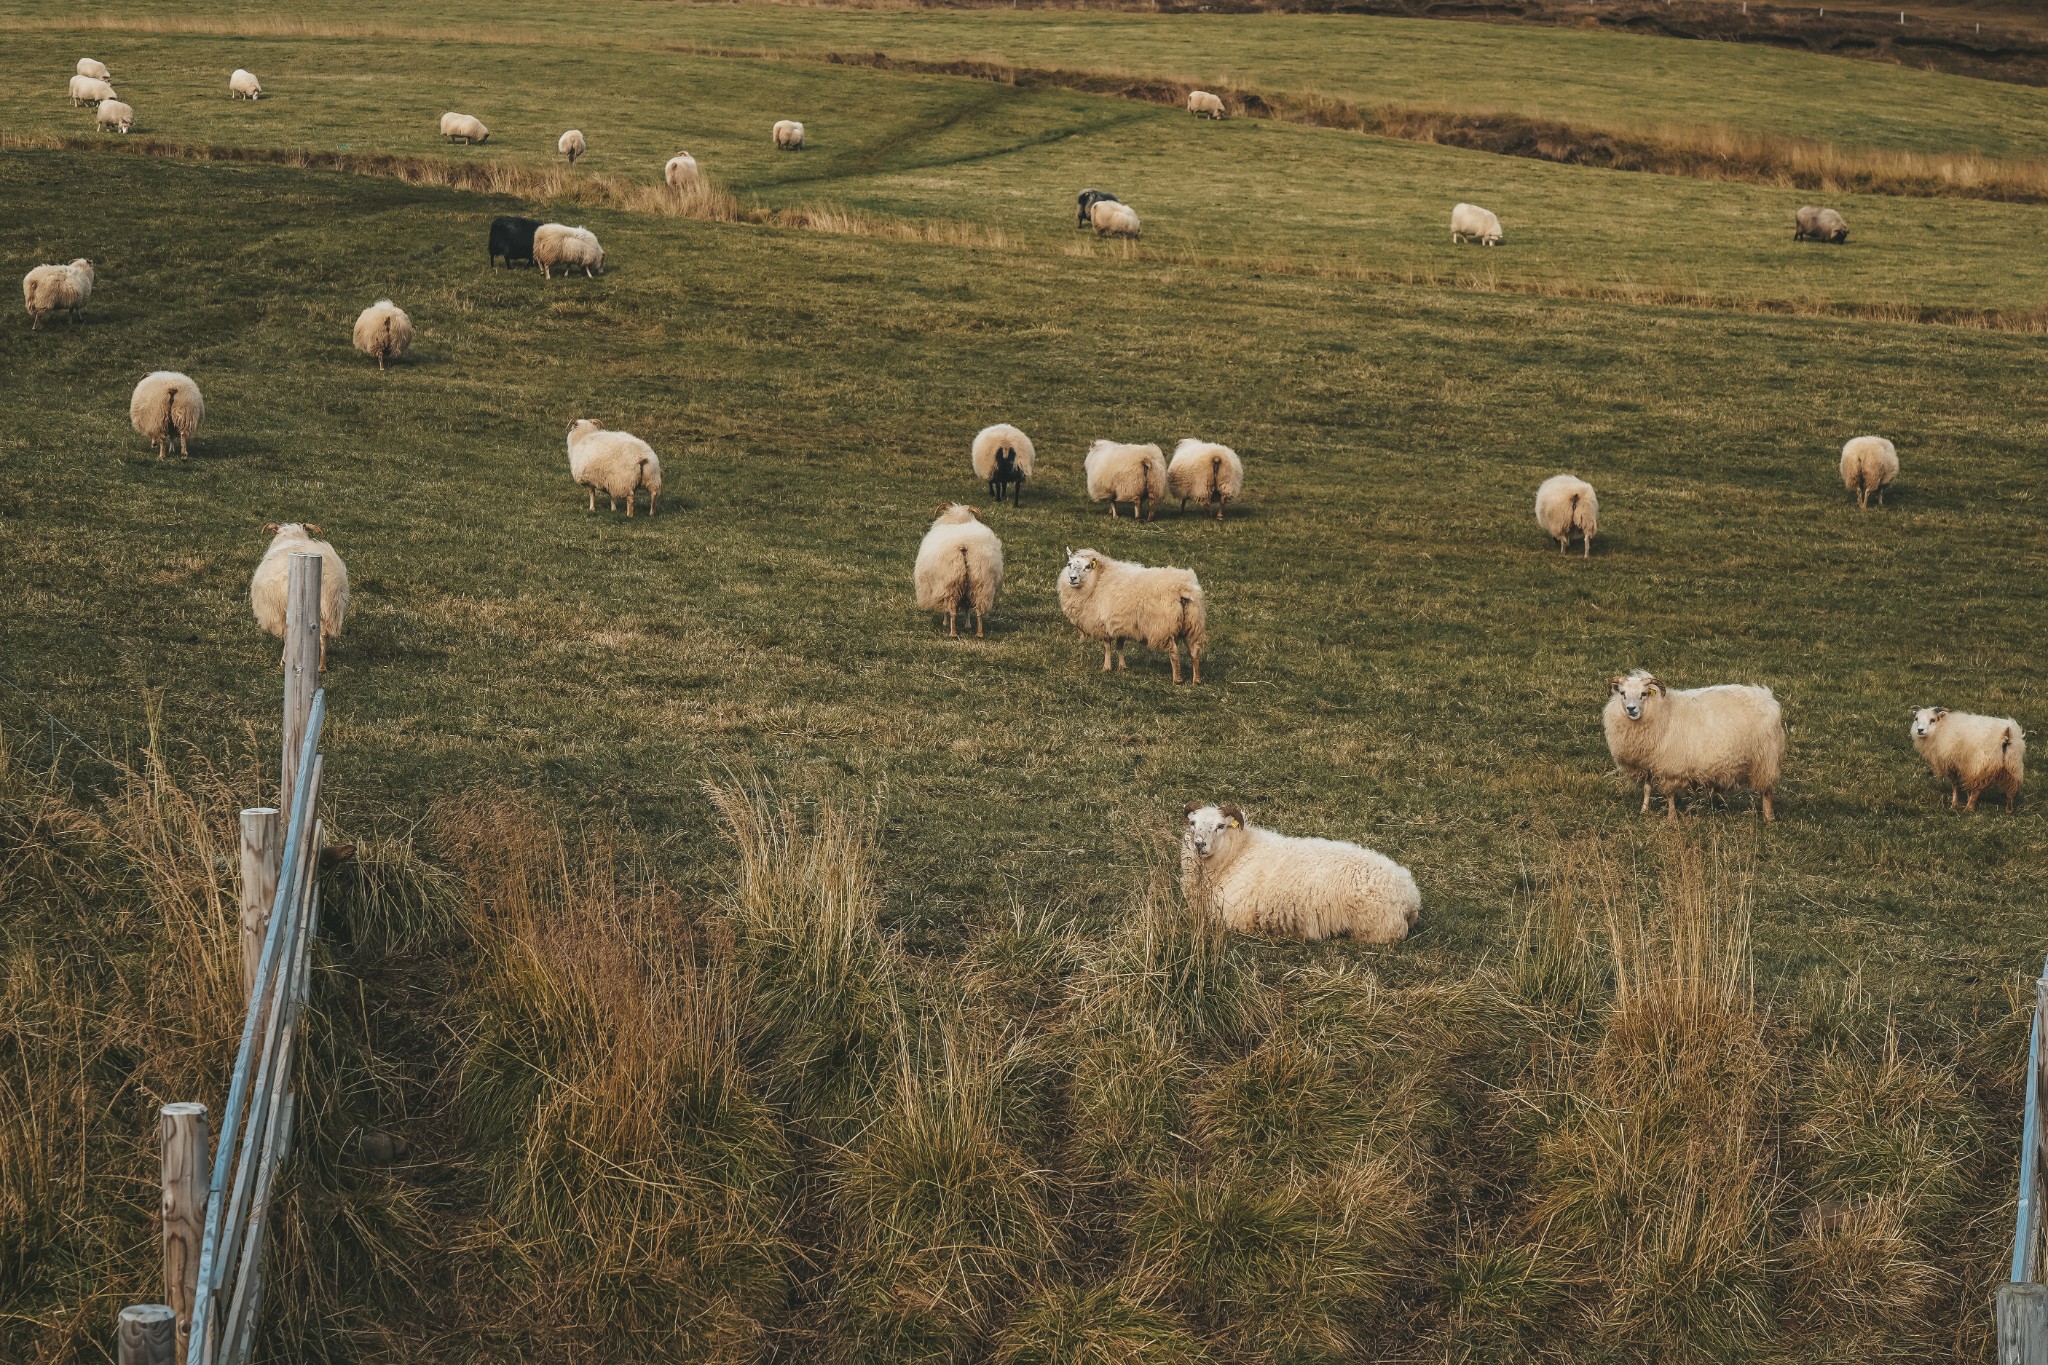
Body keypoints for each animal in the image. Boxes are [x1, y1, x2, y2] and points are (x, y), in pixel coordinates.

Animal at [251, 519, 352, 671]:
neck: (292, 536)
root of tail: (329, 576)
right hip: (326, 611)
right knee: (323, 634)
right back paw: (321, 666)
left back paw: (287, 660)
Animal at [917, 505, 1003, 638]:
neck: (958, 520)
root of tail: (964, 545)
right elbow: (967, 607)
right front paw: (968, 626)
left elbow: (948, 609)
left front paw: (945, 623)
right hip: (981, 583)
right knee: (978, 609)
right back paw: (979, 633)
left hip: (951, 583)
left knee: (952, 610)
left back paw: (952, 633)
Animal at [1064, 548, 1204, 687]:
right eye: (1069, 564)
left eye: (1087, 566)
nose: (1072, 578)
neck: (1098, 580)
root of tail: (1182, 588)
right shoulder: (1120, 623)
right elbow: (1119, 645)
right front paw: (1122, 667)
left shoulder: (1104, 624)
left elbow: (1107, 646)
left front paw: (1106, 668)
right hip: (1193, 623)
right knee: (1194, 650)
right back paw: (1196, 680)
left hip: (1163, 627)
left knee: (1173, 652)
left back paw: (1177, 679)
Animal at [1187, 806, 1425, 945]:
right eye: (1192, 823)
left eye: (1221, 825)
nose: (1199, 844)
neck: (1239, 853)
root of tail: (1410, 895)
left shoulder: (1234, 917)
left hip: (1376, 928)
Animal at [1605, 671, 1785, 822]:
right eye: (1623, 693)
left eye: (1643, 694)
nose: (1631, 709)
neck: (1659, 710)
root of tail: (1767, 697)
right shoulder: (1649, 763)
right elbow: (1647, 789)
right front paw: (1643, 811)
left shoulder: (1670, 766)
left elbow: (1670, 794)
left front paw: (1671, 818)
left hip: (1765, 759)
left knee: (1767, 791)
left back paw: (1769, 818)